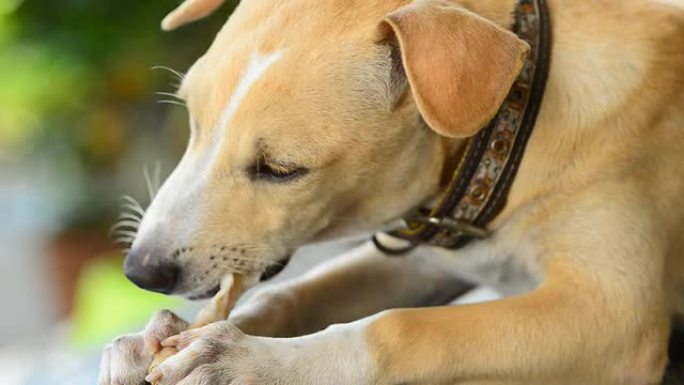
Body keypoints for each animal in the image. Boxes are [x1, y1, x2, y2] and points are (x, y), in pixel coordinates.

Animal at [96, 0, 684, 382]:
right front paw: (159, 344)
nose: (140, 272)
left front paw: (248, 364)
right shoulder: (423, 261)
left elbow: (400, 328)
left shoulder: (612, 320)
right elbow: (292, 293)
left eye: (281, 169)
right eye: (193, 122)